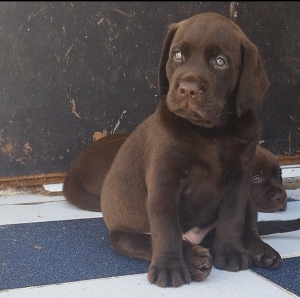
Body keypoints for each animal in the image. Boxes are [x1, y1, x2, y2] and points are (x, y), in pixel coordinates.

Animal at [97, 12, 282, 288]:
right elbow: (166, 227)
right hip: (123, 236)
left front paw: (230, 252)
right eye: (177, 55)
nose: (187, 89)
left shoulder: (241, 177)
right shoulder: (164, 180)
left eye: (220, 62)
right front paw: (170, 267)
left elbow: (233, 217)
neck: (211, 132)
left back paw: (261, 251)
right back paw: (194, 259)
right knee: (150, 240)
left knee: (249, 227)